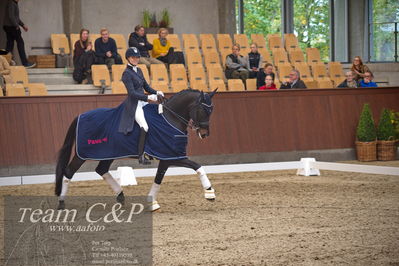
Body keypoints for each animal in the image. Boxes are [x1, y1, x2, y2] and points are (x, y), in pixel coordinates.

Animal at [54, 88, 217, 211]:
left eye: (211, 110)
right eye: (203, 109)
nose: (204, 134)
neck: (170, 118)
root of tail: (80, 116)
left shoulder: (167, 158)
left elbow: (159, 178)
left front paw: (152, 203)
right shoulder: (173, 156)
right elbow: (198, 166)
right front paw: (209, 192)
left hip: (108, 153)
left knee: (101, 169)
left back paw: (121, 196)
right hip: (82, 154)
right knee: (69, 172)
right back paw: (61, 203)